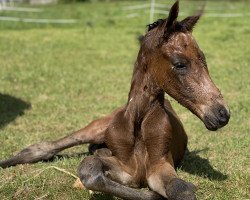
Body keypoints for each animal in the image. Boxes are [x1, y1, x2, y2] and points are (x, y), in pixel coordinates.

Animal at [0, 1, 230, 200]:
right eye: (180, 64)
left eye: (204, 59)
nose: (222, 114)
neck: (138, 121)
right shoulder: (124, 167)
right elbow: (89, 169)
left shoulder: (159, 165)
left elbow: (181, 190)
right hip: (95, 128)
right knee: (45, 147)